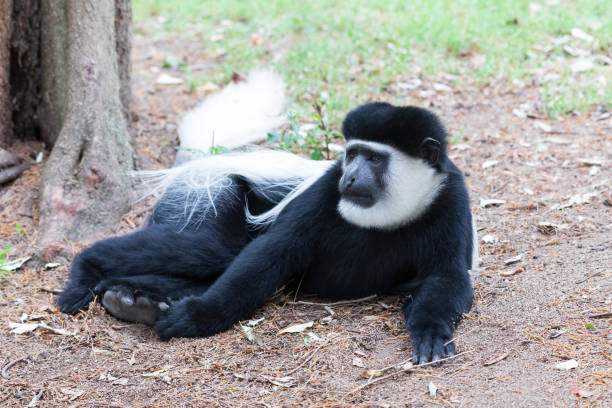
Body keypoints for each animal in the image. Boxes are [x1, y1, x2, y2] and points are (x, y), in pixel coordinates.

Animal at [57, 71, 476, 364]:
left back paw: (130, 299)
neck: (389, 213)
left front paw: (431, 335)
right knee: (213, 250)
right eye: (352, 154)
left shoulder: (451, 200)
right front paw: (197, 318)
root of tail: (199, 163)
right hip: (206, 196)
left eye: (374, 158)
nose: (351, 177)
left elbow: (448, 276)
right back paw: (87, 272)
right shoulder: (325, 192)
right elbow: (273, 251)